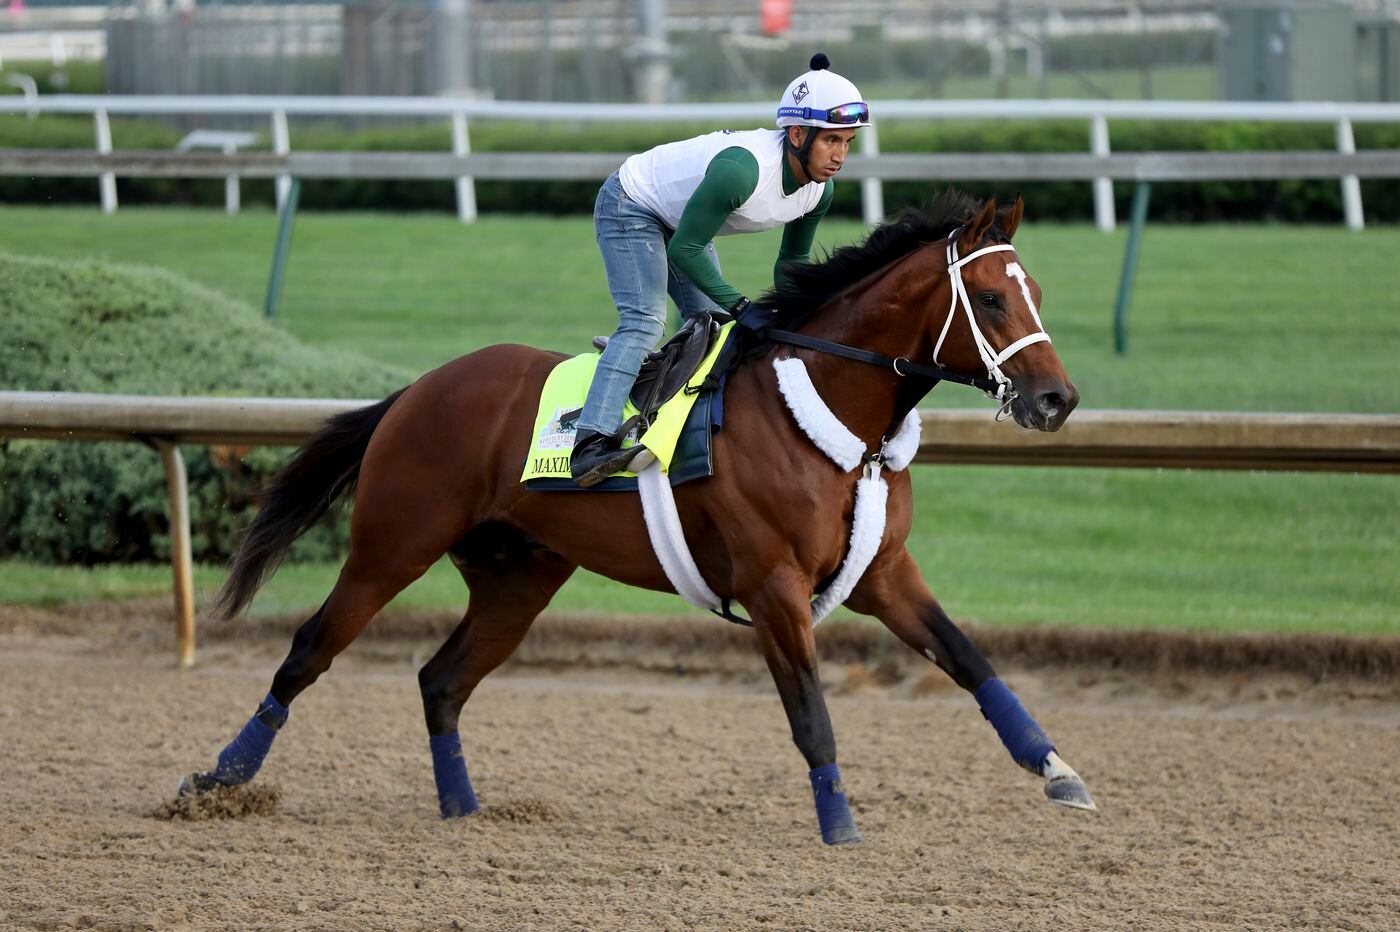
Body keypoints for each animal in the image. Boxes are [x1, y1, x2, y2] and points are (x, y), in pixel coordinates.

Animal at [191, 188, 1097, 839]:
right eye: (989, 299)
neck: (828, 410)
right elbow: (812, 715)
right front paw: (840, 827)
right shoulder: (772, 584)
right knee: (309, 652)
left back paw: (463, 810)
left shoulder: (883, 573)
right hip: (392, 544)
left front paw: (1060, 772)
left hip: (518, 577)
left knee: (440, 680)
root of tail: (418, 388)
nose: (1057, 400)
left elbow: (973, 663)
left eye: (1036, 292)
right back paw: (219, 778)